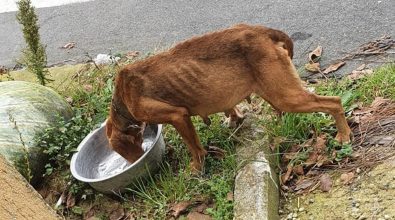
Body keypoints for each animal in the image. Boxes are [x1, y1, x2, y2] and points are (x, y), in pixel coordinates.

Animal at [106, 24, 352, 172]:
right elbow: (231, 108)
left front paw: (197, 168)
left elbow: (194, 147)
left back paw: (344, 134)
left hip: (286, 97)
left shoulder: (178, 116)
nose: (133, 163)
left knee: (334, 102)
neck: (122, 99)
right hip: (275, 92)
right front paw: (235, 118)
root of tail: (262, 31)